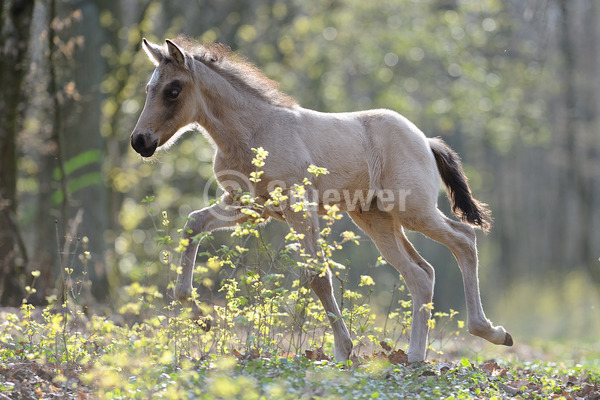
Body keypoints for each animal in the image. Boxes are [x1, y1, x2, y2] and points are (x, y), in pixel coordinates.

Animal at [130, 38, 510, 362]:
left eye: (173, 90)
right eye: (148, 89)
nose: (140, 141)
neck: (253, 132)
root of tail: (426, 140)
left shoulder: (298, 205)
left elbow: (317, 275)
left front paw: (344, 351)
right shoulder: (248, 206)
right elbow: (193, 224)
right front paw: (201, 318)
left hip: (412, 209)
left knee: (463, 239)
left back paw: (490, 332)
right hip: (376, 220)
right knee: (421, 274)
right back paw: (416, 357)